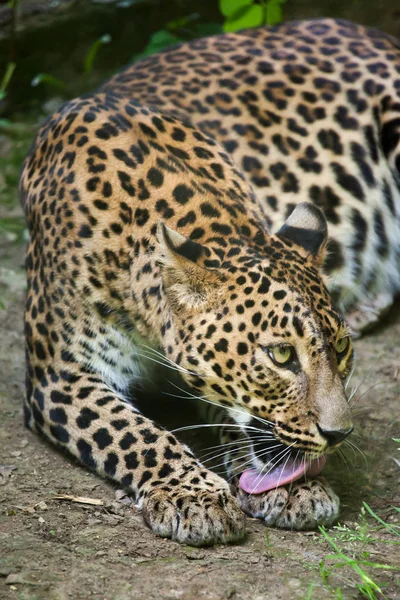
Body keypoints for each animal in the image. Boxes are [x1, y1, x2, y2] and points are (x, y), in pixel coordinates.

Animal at [21, 17, 400, 544]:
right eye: (281, 356)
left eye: (340, 350)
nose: (339, 434)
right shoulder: (60, 373)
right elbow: (132, 432)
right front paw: (192, 493)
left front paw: (292, 488)